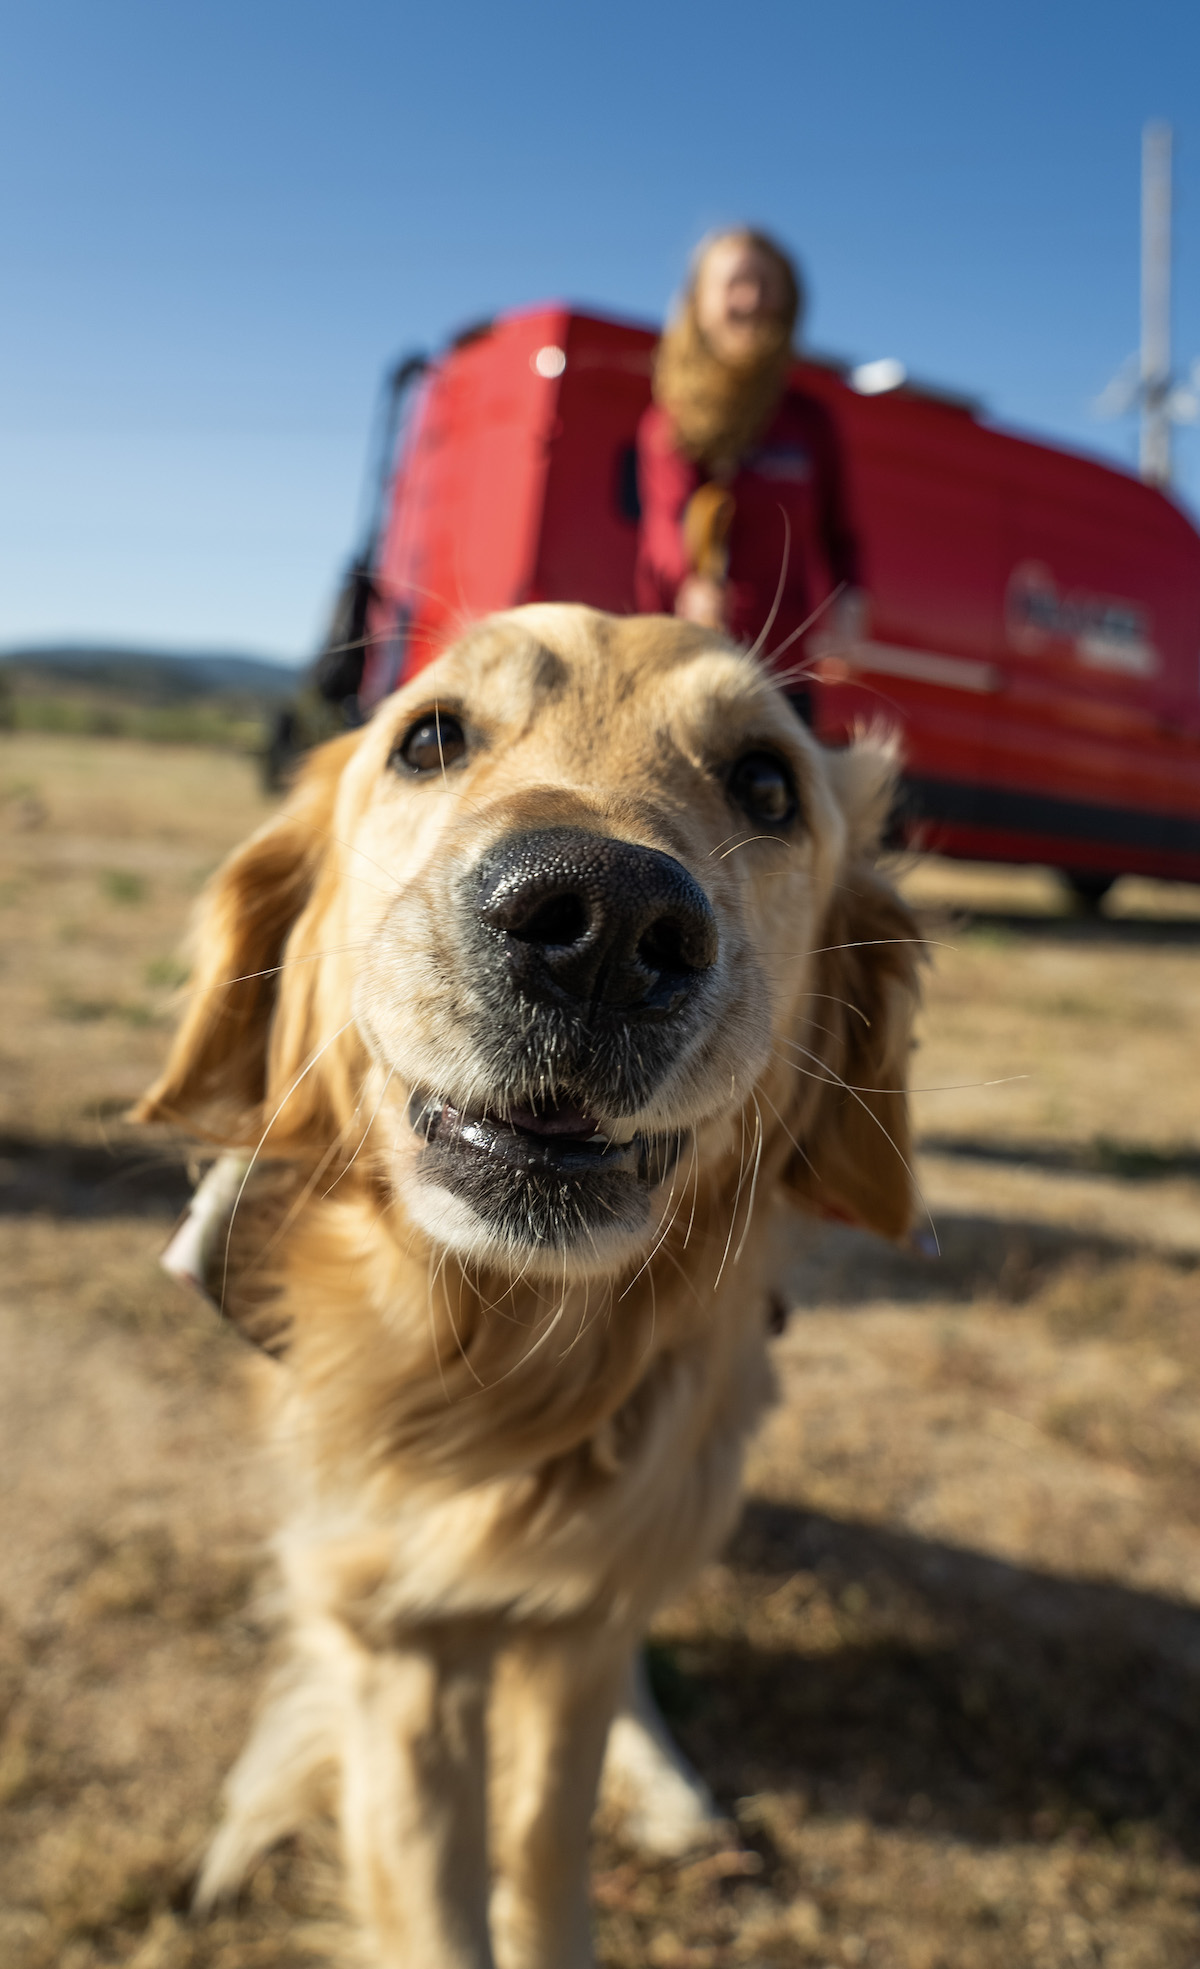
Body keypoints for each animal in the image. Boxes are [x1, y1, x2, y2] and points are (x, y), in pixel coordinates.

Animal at [135, 606, 918, 1961]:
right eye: (429, 737)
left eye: (766, 784)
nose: (605, 921)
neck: (500, 1358)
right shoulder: (398, 1637)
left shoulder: (581, 1616)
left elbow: (549, 1846)